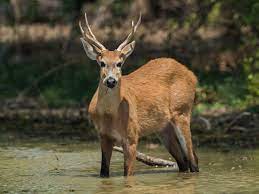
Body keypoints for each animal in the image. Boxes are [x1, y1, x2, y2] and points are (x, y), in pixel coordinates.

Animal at [79, 12, 199, 177]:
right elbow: (104, 171)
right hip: (163, 127)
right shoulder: (103, 136)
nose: (111, 81)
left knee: (193, 159)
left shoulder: (132, 136)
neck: (110, 115)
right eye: (102, 63)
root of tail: (192, 75)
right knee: (183, 161)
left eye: (119, 63)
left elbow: (127, 174)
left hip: (182, 111)